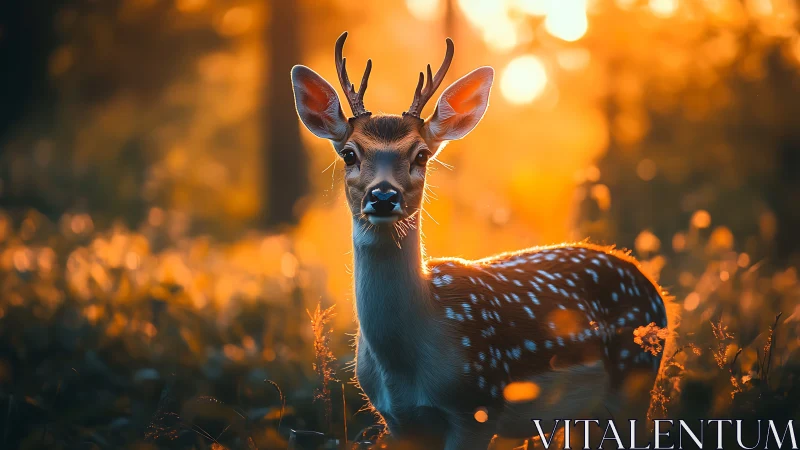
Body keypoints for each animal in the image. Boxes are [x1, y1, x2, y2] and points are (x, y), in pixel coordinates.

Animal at [290, 32, 674, 450]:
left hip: (635, 379)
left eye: (421, 155)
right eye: (349, 153)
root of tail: (656, 291)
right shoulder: (398, 421)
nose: (383, 196)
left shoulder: (476, 405)